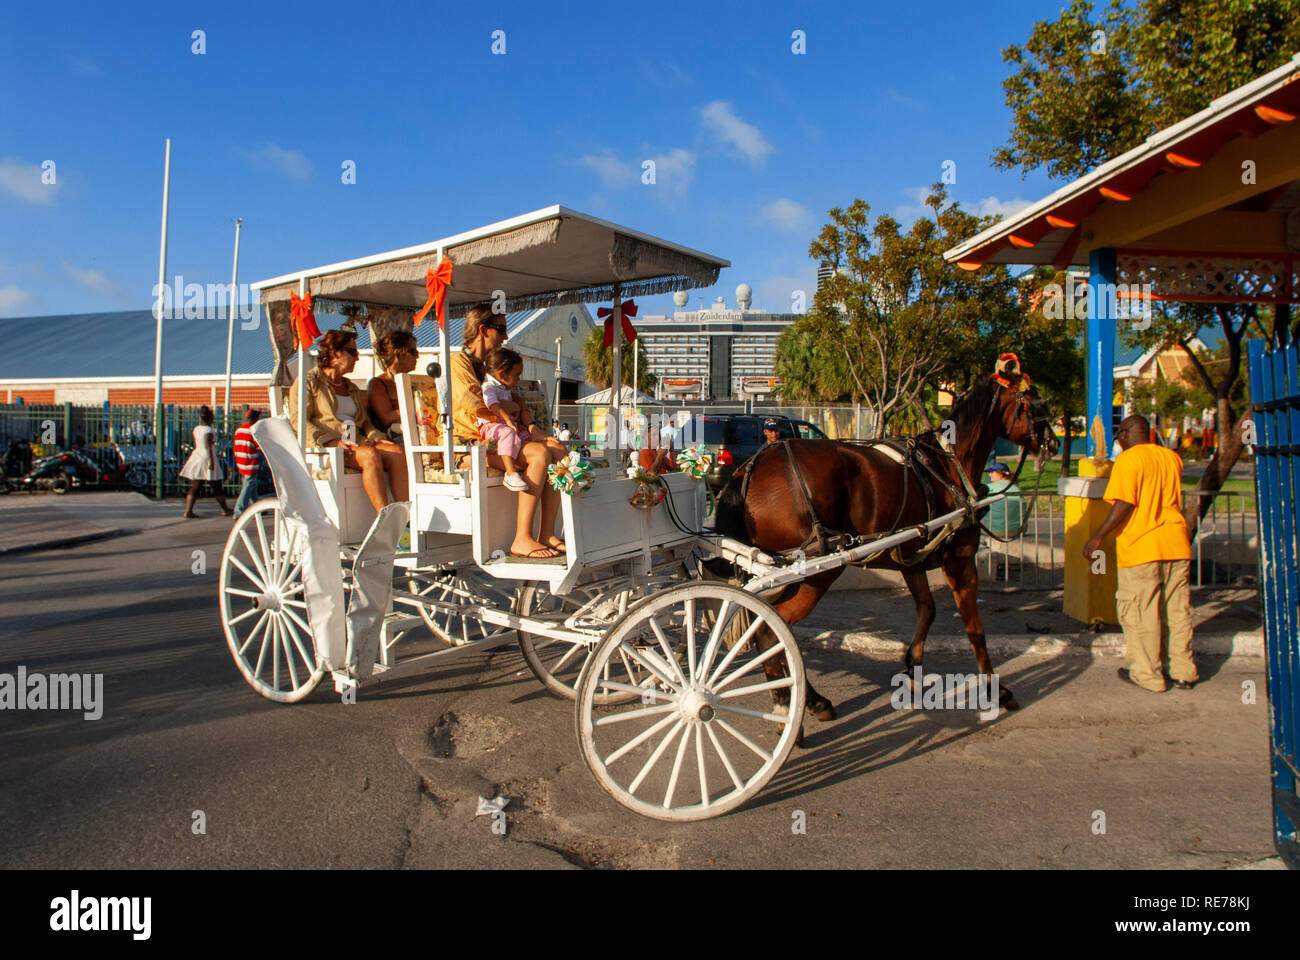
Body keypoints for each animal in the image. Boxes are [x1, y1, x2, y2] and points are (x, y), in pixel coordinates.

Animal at [712, 356, 1055, 723]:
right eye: (1034, 402)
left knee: (771, 628)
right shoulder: (960, 558)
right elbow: (974, 628)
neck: (949, 465)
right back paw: (788, 706)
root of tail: (753, 466)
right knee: (770, 630)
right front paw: (996, 689)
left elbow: (928, 610)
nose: (1053, 442)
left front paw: (913, 669)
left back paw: (810, 700)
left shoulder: (913, 559)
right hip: (818, 570)